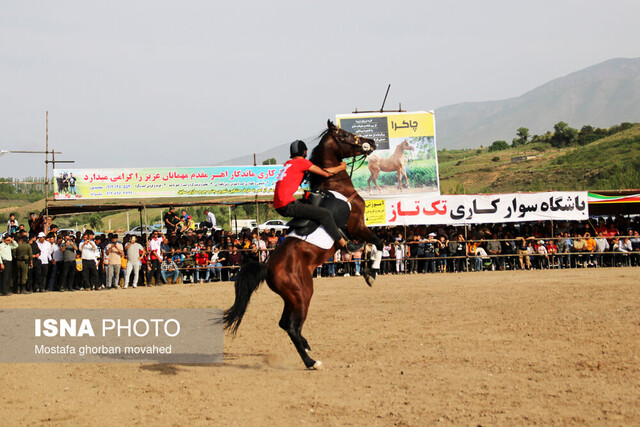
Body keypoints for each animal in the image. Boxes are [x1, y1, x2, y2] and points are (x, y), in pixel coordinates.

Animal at [225, 121, 384, 372]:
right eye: (345, 135)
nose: (372, 142)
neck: (336, 186)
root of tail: (267, 266)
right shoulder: (358, 226)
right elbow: (379, 243)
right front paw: (372, 272)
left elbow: (376, 244)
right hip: (302, 293)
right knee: (292, 327)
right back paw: (311, 361)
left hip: (290, 297)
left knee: (285, 324)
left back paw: (307, 346)